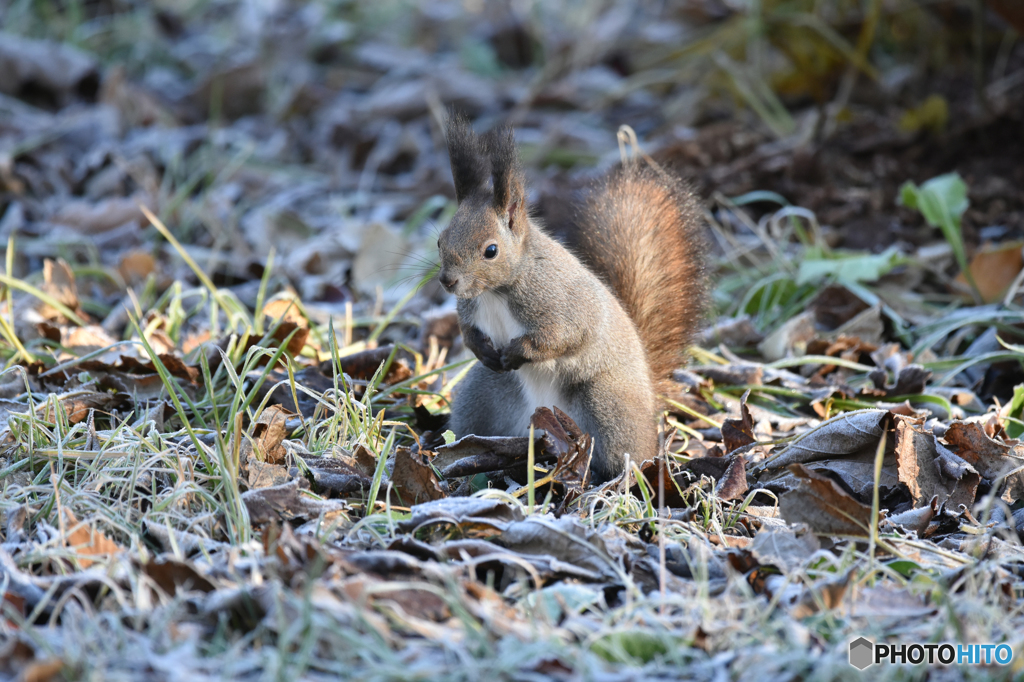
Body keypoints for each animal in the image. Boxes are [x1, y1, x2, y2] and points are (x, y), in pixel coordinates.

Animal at [432, 114, 704, 481]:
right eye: (440, 241)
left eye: (491, 250)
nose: (448, 281)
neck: (495, 292)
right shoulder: (470, 309)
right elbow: (467, 330)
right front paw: (481, 349)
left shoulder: (559, 303)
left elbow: (564, 336)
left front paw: (518, 352)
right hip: (482, 395)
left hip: (605, 404)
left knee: (628, 453)